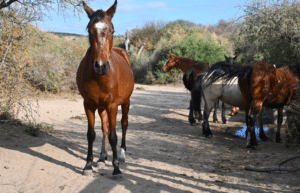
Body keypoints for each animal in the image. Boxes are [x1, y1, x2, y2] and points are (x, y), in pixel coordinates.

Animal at [76, 1, 135, 179]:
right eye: (89, 30)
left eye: (112, 30)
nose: (101, 66)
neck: (100, 78)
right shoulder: (88, 104)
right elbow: (91, 134)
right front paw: (88, 165)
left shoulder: (113, 105)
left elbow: (114, 136)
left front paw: (116, 169)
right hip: (101, 107)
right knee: (105, 127)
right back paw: (102, 157)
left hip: (125, 103)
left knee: (123, 124)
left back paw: (121, 155)